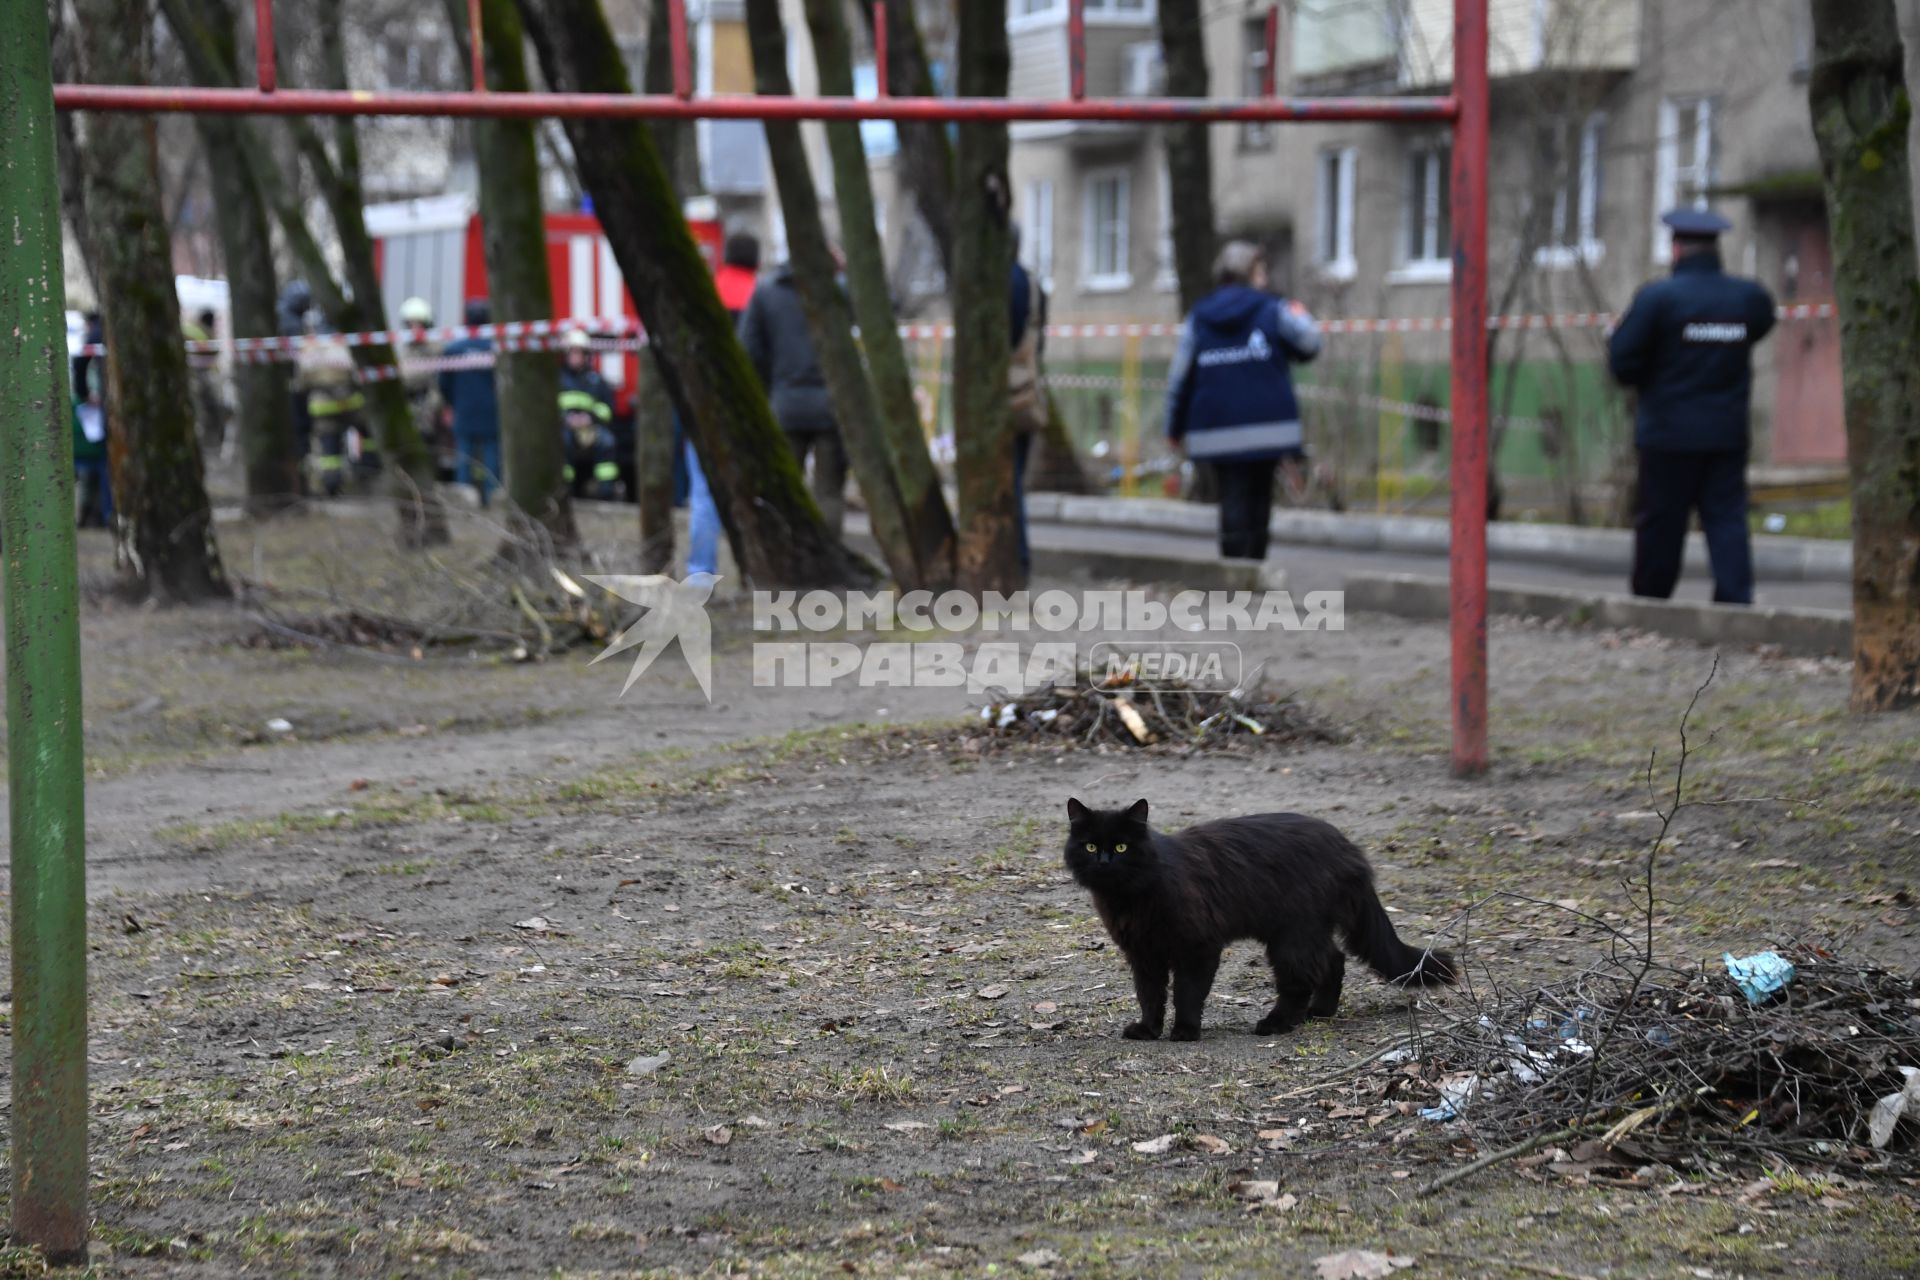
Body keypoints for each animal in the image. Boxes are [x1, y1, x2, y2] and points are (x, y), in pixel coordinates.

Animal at [1067, 802, 1451, 1043]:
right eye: (1089, 847)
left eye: (1121, 847)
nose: (1104, 862)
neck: (1128, 898)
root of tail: (1348, 847)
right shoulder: (1144, 955)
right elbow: (1149, 996)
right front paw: (1148, 1030)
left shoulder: (1198, 948)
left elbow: (1187, 993)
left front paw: (1185, 1032)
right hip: (1303, 931)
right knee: (1333, 960)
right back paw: (1320, 1012)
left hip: (1292, 937)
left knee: (1300, 981)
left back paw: (1276, 1023)